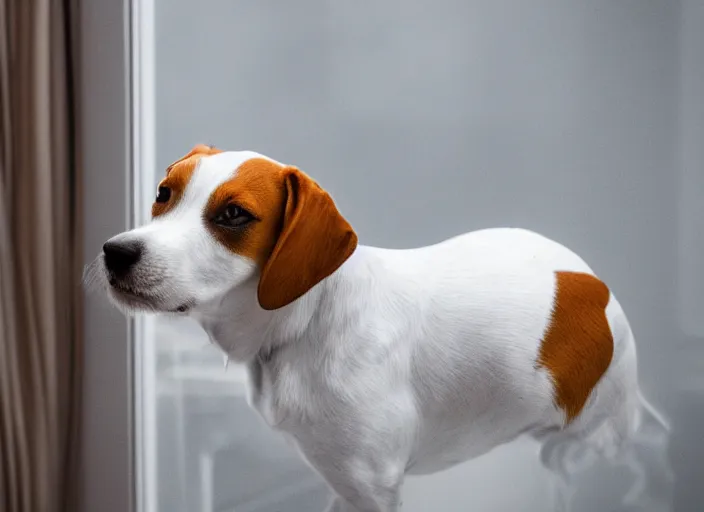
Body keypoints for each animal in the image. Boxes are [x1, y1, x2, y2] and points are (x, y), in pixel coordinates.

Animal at [88, 144, 672, 512]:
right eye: (163, 193)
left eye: (233, 214)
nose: (115, 252)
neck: (306, 323)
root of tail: (593, 283)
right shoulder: (343, 485)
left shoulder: (372, 486)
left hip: (599, 438)